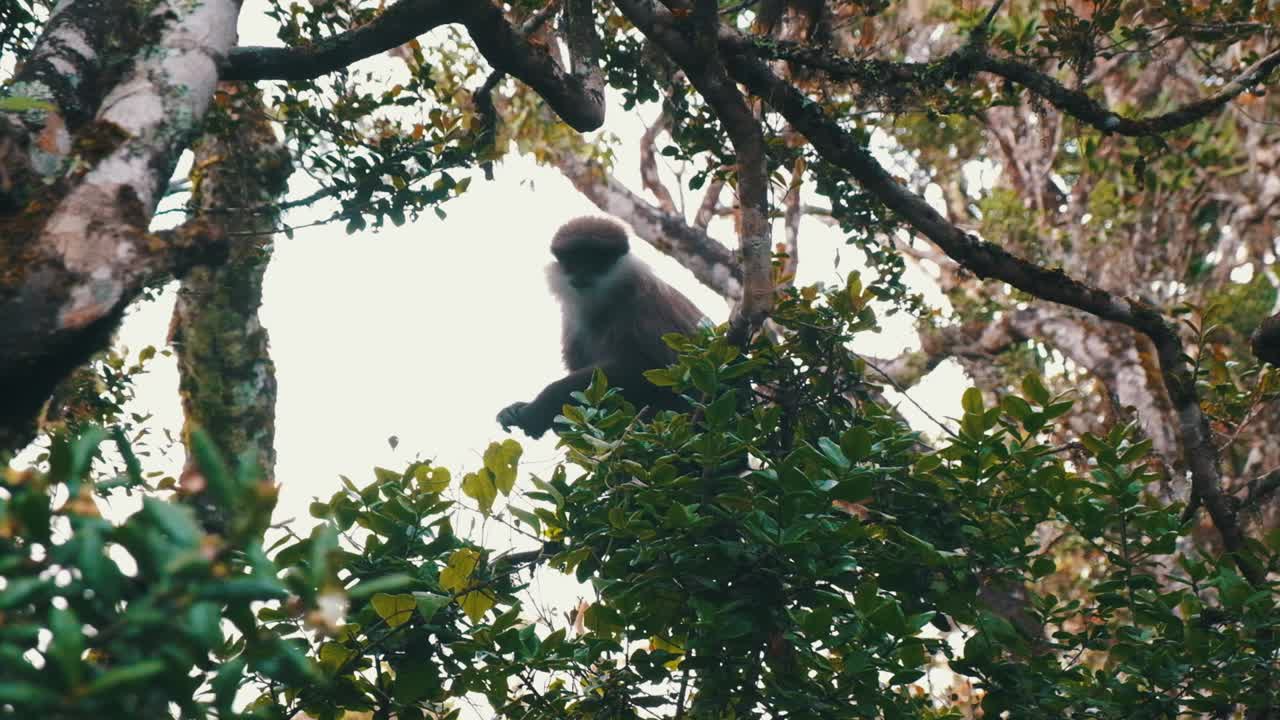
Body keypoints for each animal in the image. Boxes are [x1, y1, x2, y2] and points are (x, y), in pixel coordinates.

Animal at [497, 217, 707, 439]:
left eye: (595, 259)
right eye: (574, 259)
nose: (582, 273)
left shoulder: (642, 302)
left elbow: (649, 367)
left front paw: (539, 407)